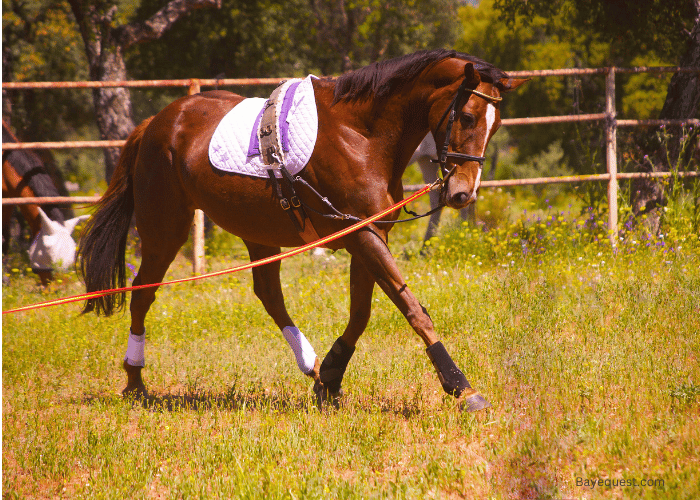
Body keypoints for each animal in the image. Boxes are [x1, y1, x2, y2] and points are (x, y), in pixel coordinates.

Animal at [79, 49, 524, 410]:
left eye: (497, 124)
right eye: (466, 116)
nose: (463, 193)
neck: (361, 136)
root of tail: (156, 123)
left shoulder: (368, 235)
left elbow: (361, 313)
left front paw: (329, 378)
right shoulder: (363, 236)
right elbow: (412, 309)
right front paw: (462, 388)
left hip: (257, 231)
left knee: (268, 294)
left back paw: (309, 364)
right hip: (165, 231)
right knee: (143, 294)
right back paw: (135, 381)